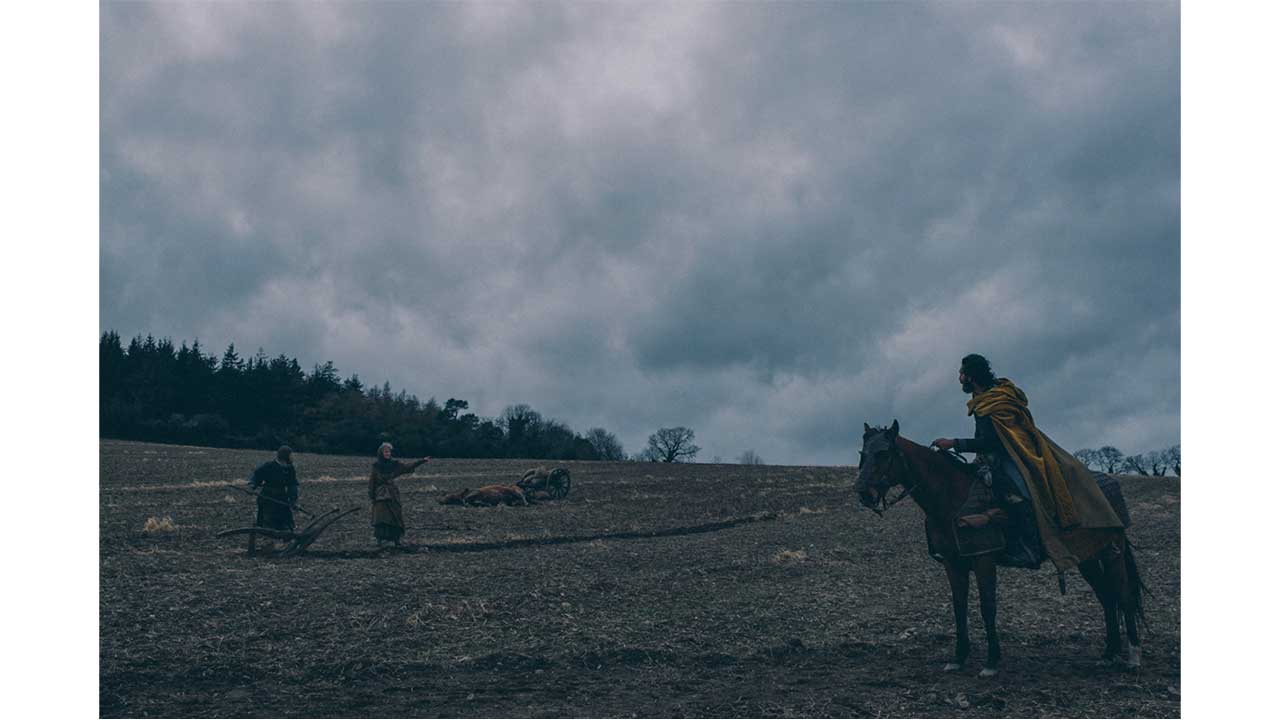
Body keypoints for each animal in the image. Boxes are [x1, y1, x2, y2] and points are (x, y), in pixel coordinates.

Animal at [855, 417, 1146, 676]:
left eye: (883, 453)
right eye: (862, 453)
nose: (863, 493)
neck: (951, 497)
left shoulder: (984, 559)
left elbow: (987, 606)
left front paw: (992, 661)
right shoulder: (953, 563)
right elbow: (959, 606)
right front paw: (959, 657)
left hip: (1111, 553)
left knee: (1123, 595)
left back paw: (1133, 656)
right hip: (1087, 557)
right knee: (1107, 597)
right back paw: (1109, 654)